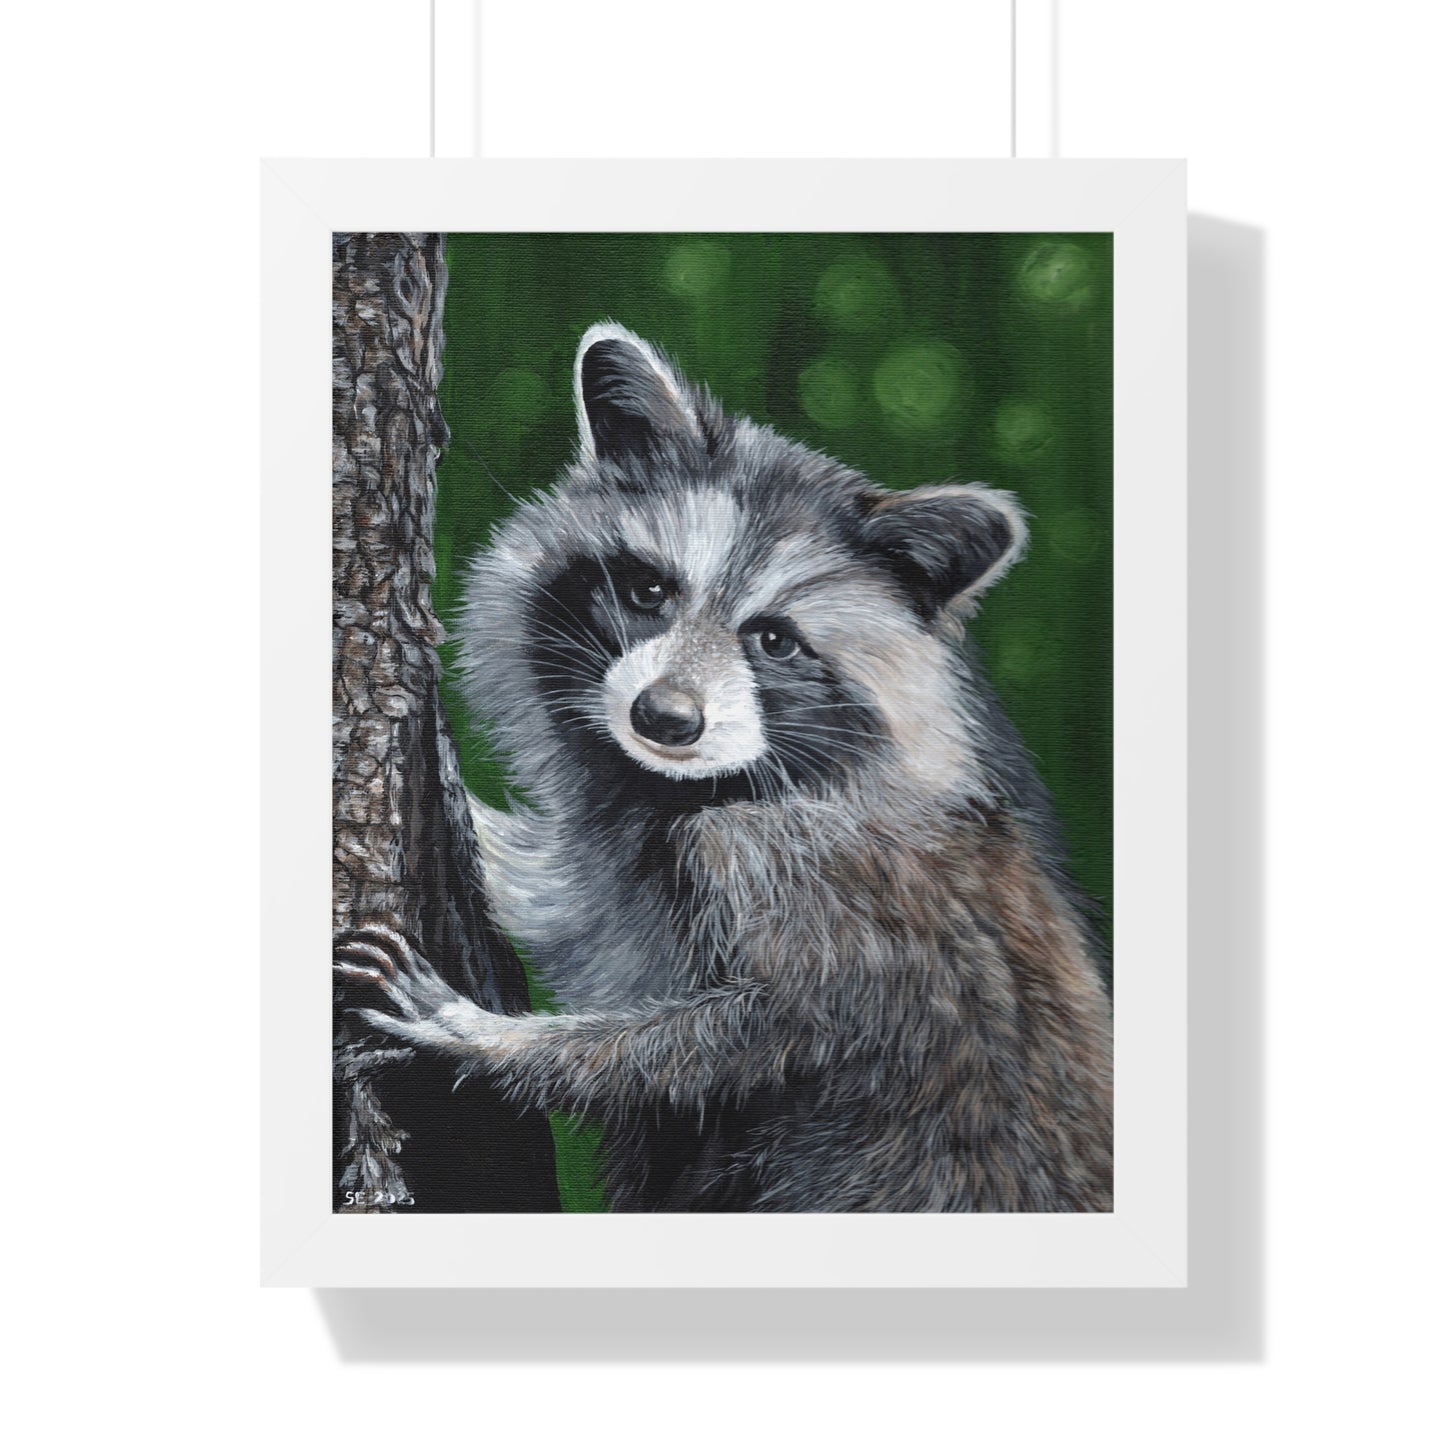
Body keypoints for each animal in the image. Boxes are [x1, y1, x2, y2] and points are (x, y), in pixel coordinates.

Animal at [336, 322, 1113, 1212]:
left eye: (773, 639)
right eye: (647, 590)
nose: (665, 718)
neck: (690, 786)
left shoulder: (814, 879)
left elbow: (742, 1036)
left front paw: (489, 1039)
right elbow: (568, 900)